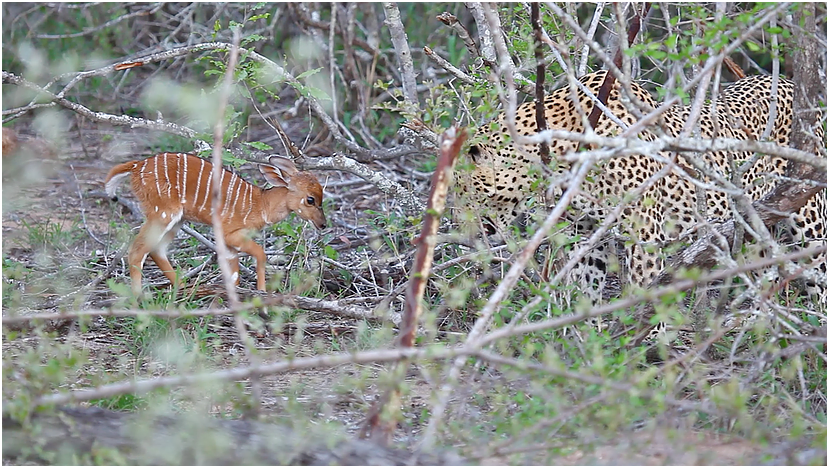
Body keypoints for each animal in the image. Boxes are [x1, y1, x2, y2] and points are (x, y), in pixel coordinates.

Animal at [460, 70, 827, 322]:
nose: (460, 229)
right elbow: (586, 287)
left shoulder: (645, 231)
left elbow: (643, 292)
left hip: (810, 219)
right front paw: (590, 343)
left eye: (459, 191)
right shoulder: (585, 231)